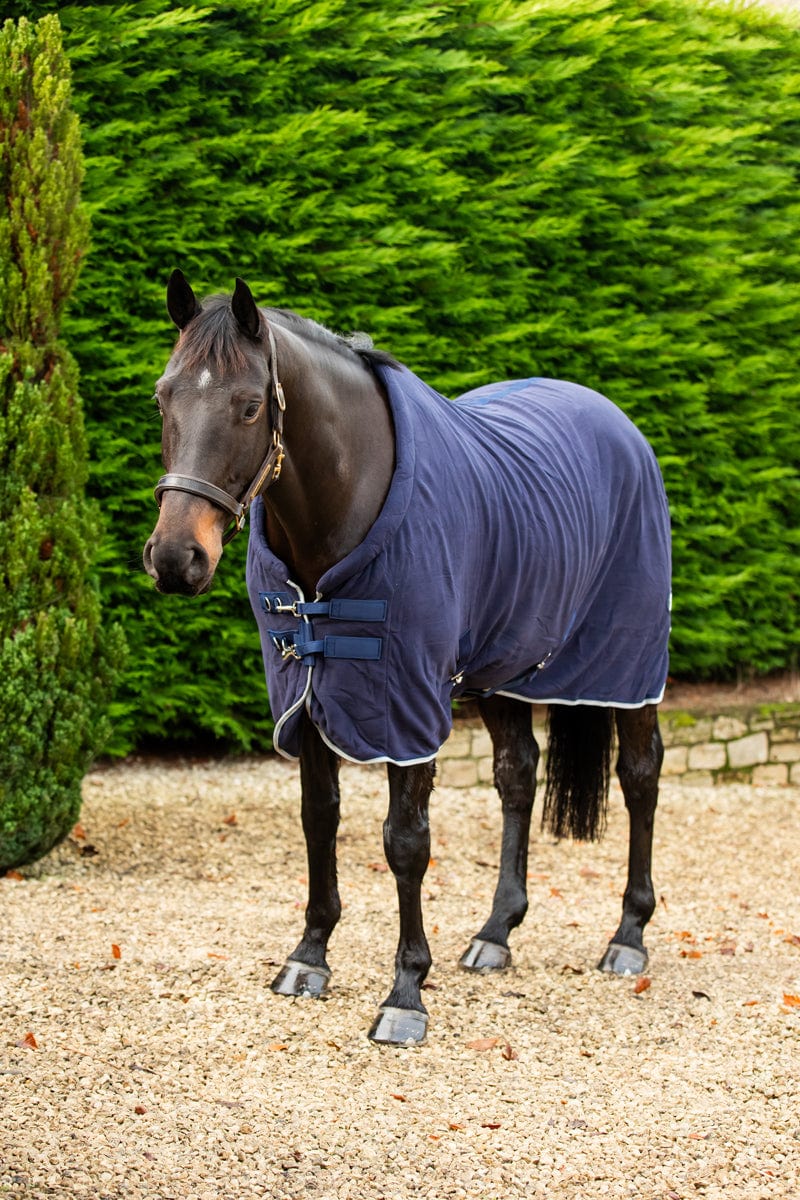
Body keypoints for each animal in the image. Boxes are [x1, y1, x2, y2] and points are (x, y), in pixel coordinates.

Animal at [143, 270, 671, 1045]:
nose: (177, 559)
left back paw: (628, 936)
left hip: (627, 667)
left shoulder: (407, 700)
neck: (343, 502)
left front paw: (405, 993)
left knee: (639, 776)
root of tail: (619, 424)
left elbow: (405, 841)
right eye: (163, 395)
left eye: (248, 406)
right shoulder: (307, 695)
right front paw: (309, 957)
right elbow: (319, 818)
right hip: (501, 669)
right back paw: (496, 932)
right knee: (518, 775)